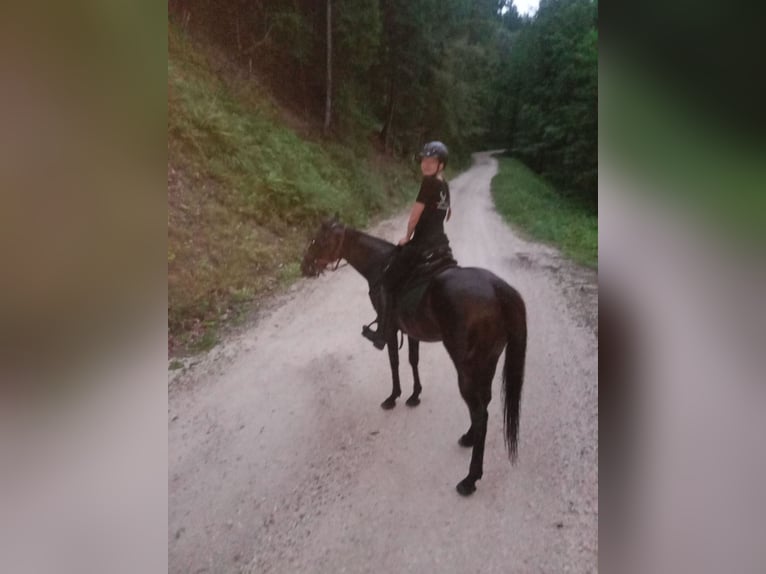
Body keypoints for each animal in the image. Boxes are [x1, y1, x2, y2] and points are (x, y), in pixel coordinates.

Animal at [300, 218, 528, 498]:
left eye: (320, 240)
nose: (304, 266)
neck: (380, 265)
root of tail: (498, 289)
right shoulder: (411, 331)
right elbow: (413, 360)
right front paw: (415, 395)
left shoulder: (390, 328)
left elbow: (394, 362)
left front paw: (393, 397)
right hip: (488, 361)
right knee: (483, 405)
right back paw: (469, 438)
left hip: (466, 367)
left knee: (479, 412)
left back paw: (470, 479)